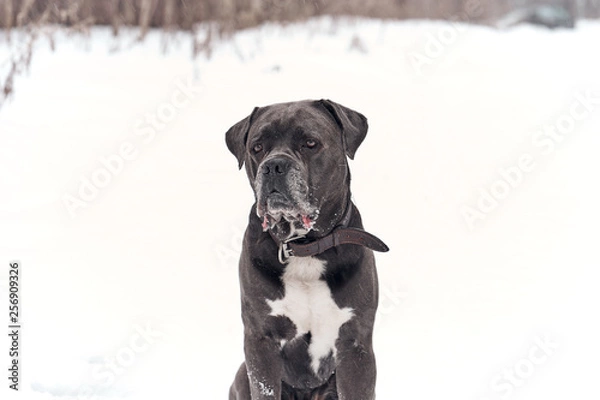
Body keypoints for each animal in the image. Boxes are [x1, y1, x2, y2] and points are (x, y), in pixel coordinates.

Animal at [225, 97, 390, 400]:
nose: (274, 165)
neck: (305, 248)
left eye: (310, 143)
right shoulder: (260, 341)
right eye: (257, 147)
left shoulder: (355, 345)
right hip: (242, 375)